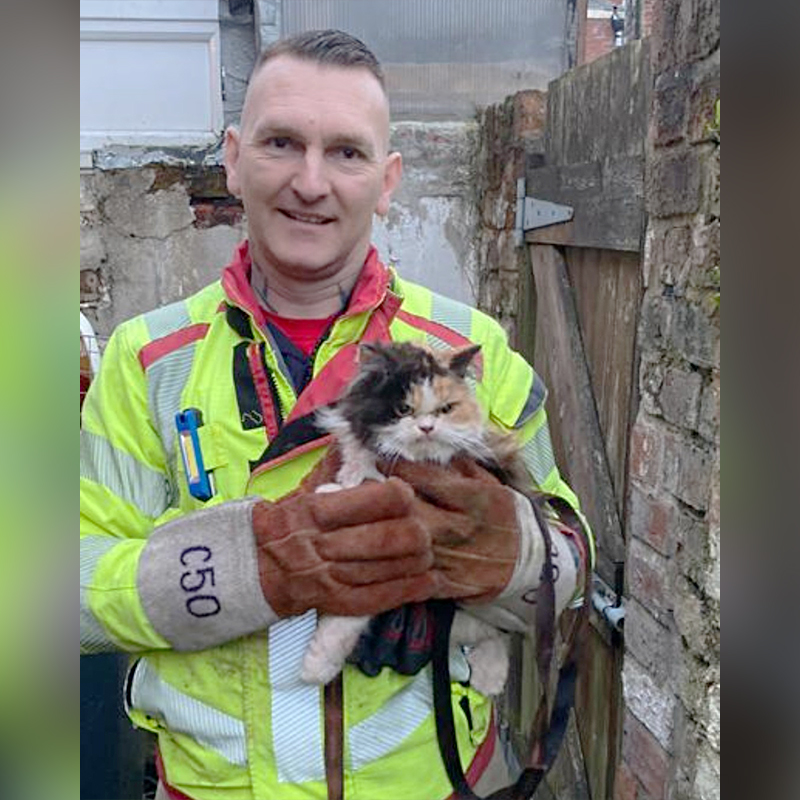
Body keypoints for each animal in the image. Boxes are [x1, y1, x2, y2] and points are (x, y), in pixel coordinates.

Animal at [300, 340, 524, 696]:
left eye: (445, 409)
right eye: (404, 409)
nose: (427, 427)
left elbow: (347, 620)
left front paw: (315, 668)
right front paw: (334, 491)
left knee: (496, 633)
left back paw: (489, 679)